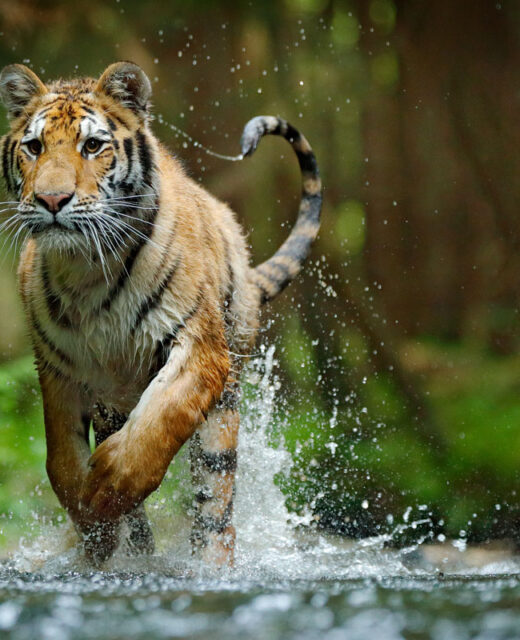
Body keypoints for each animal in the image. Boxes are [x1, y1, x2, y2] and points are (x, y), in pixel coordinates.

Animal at [0, 61, 322, 566]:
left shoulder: (199, 348)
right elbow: (61, 460)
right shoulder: (57, 366)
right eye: (34, 147)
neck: (85, 270)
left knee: (215, 507)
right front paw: (92, 526)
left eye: (92, 145)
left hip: (223, 410)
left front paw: (105, 488)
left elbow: (156, 425)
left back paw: (210, 565)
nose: (52, 201)